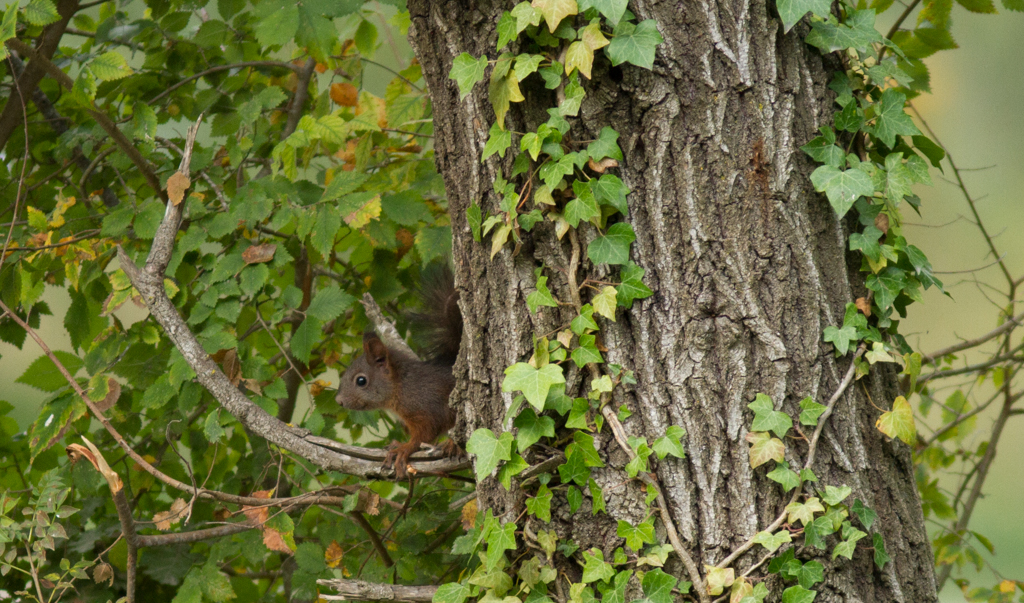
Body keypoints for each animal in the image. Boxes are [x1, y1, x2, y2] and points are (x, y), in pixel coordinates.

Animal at [335, 266, 464, 477]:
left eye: (361, 381)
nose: (339, 401)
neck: (400, 387)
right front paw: (397, 444)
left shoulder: (427, 408)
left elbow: (424, 435)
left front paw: (403, 448)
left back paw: (452, 444)